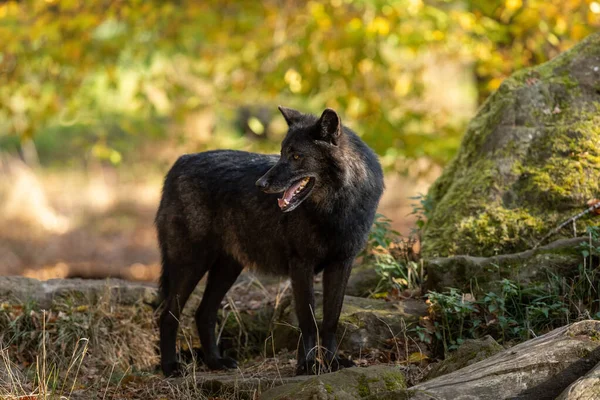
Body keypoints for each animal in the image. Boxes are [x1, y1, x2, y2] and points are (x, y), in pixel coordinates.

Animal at [155, 105, 384, 376]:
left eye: (296, 156)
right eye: (282, 153)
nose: (260, 184)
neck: (336, 209)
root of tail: (179, 163)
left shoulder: (341, 264)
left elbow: (331, 319)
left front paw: (333, 362)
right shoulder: (301, 265)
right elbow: (308, 319)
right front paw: (307, 365)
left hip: (227, 268)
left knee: (204, 313)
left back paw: (216, 362)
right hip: (192, 264)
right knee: (168, 315)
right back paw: (170, 367)